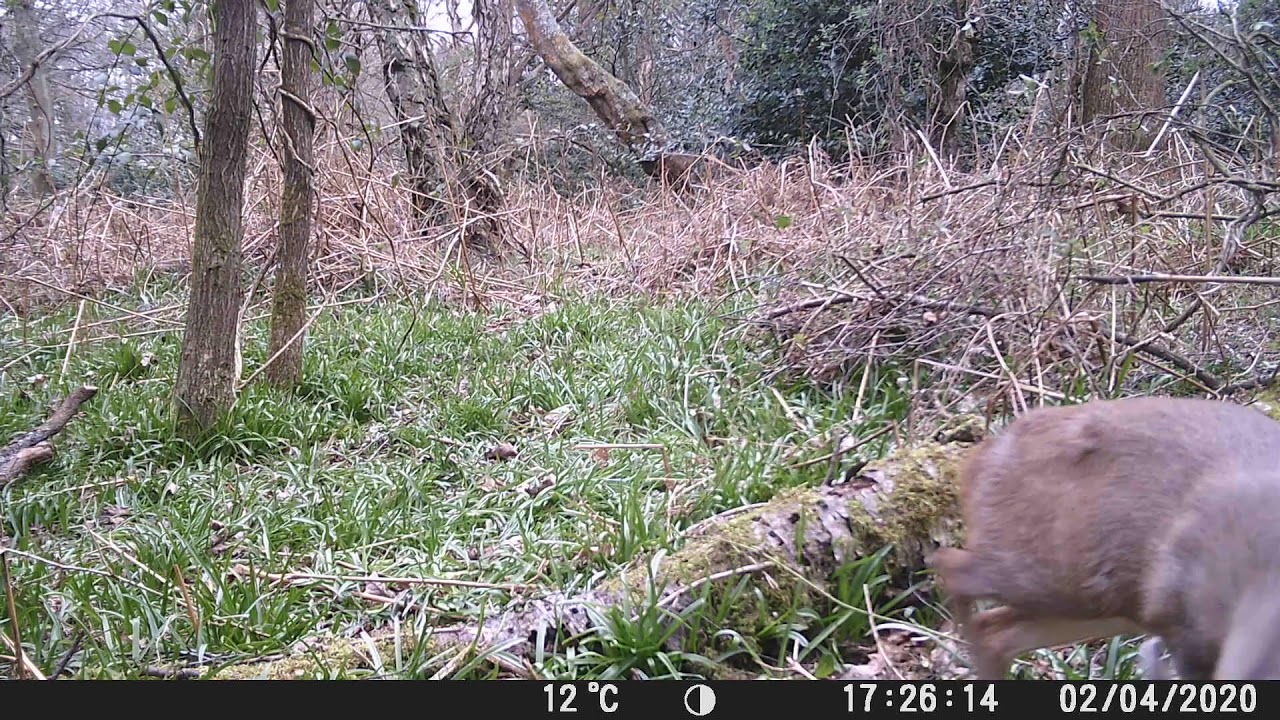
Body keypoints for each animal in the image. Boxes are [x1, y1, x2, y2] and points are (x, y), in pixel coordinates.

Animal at [927, 395, 1280, 680]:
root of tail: (983, 456)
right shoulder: (1181, 616)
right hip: (1055, 570)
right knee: (953, 568)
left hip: (1108, 601)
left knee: (996, 630)